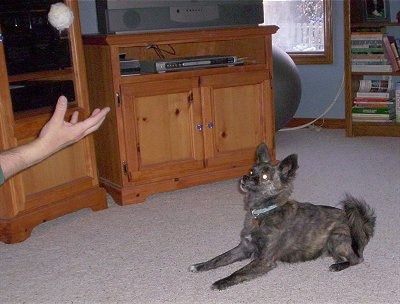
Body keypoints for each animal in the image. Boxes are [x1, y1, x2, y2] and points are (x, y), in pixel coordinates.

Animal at [189, 142, 376, 290]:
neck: (263, 212)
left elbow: (238, 272)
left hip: (336, 238)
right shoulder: (244, 247)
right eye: (251, 171)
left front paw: (220, 282)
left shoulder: (264, 259)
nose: (243, 177)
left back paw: (338, 266)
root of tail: (362, 226)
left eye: (265, 176)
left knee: (357, 259)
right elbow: (219, 258)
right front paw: (199, 266)